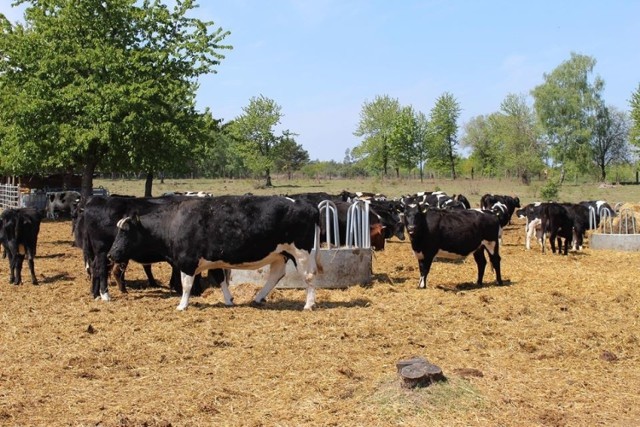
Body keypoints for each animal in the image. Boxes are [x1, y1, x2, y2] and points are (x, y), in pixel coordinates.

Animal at [108, 196, 324, 310]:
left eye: (125, 232)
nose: (111, 254)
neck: (173, 223)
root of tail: (305, 204)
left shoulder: (187, 261)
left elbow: (187, 284)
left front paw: (182, 305)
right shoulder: (213, 260)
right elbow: (219, 278)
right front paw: (229, 300)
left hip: (301, 252)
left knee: (309, 276)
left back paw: (309, 304)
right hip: (280, 253)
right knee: (276, 275)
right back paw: (258, 297)